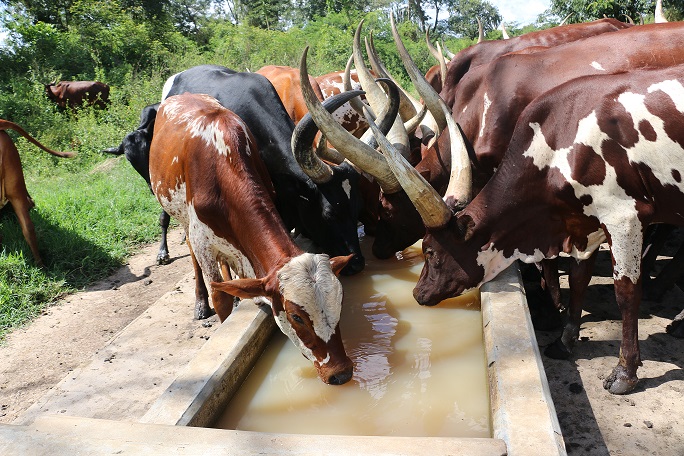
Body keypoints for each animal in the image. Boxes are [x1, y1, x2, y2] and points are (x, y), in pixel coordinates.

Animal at [148, 92, 352, 384]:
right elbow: (219, 296)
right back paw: (200, 303)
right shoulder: (202, 240)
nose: (341, 372)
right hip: (180, 217)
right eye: (296, 317)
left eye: (340, 303)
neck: (224, 163)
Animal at [372, 64, 684, 396]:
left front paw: (625, 372)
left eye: (430, 251)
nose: (418, 293)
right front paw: (565, 341)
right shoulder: (584, 223)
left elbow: (625, 293)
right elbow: (578, 278)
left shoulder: (623, 217)